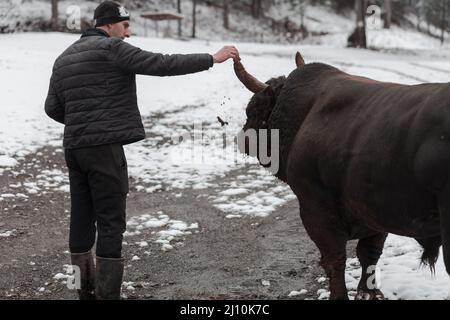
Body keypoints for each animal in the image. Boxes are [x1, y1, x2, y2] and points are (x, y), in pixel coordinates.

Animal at [236, 52, 450, 300]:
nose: (241, 137)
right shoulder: (375, 212)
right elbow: (369, 254)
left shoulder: (316, 210)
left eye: (253, 110)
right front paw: (368, 292)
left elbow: (335, 259)